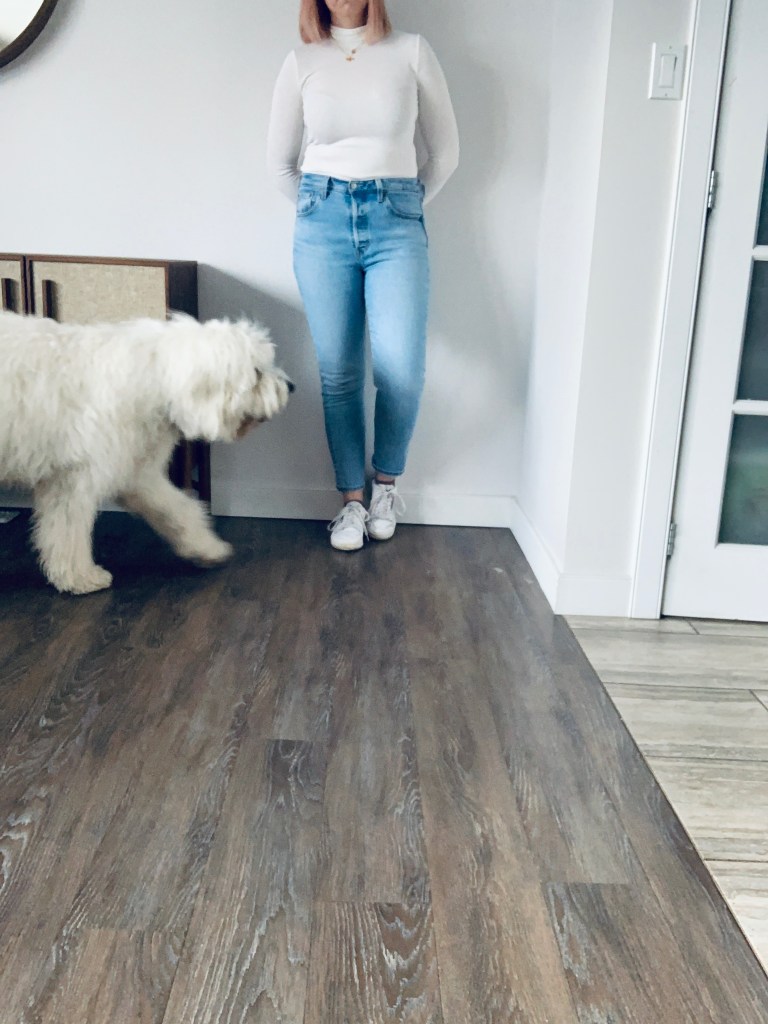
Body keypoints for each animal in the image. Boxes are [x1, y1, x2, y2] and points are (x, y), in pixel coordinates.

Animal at [0, 311, 292, 594]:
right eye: (256, 372)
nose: (291, 386)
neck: (153, 380)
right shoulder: (73, 478)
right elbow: (67, 531)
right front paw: (80, 577)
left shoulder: (136, 470)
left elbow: (177, 507)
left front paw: (207, 547)